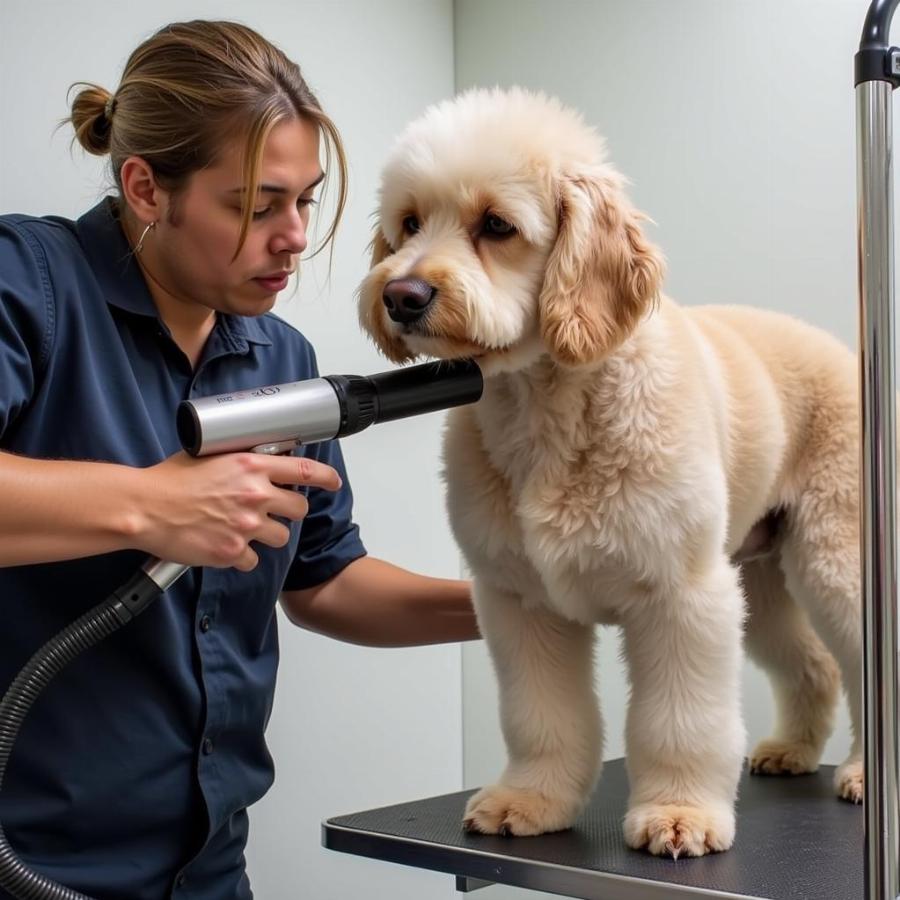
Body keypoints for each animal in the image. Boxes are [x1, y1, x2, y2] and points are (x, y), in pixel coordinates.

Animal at [356, 89, 860, 856]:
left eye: (496, 225)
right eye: (409, 223)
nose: (401, 295)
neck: (547, 408)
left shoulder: (683, 596)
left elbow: (681, 721)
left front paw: (680, 812)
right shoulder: (520, 603)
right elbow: (540, 717)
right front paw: (531, 799)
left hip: (837, 563)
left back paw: (863, 773)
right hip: (764, 581)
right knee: (816, 664)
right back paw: (794, 750)